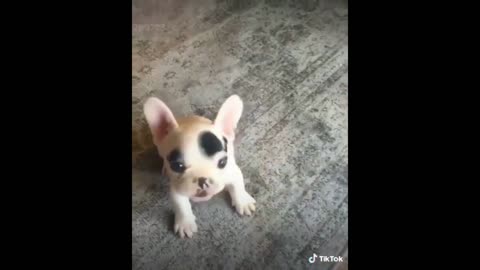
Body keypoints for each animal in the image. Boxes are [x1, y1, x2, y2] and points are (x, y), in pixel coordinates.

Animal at [142, 95, 255, 238]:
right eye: (177, 165)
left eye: (223, 162)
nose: (202, 180)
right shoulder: (177, 189)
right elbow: (181, 205)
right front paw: (185, 223)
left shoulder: (233, 172)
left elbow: (238, 186)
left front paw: (243, 202)